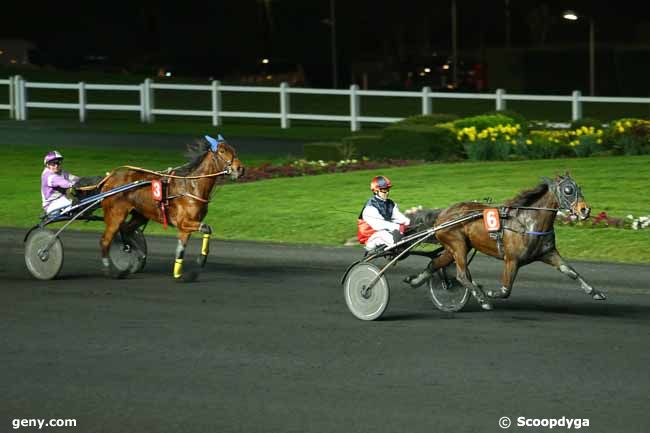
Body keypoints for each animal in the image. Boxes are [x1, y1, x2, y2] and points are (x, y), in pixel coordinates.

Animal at [98, 134, 243, 276]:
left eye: (233, 150)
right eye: (222, 151)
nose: (240, 169)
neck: (191, 187)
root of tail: (109, 179)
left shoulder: (186, 227)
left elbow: (181, 248)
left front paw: (178, 273)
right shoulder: (183, 222)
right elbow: (206, 228)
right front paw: (201, 260)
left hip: (140, 214)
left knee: (126, 230)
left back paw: (137, 254)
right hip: (115, 216)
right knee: (105, 240)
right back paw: (108, 269)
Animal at [404, 174, 608, 308]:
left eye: (579, 188)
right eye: (568, 190)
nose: (585, 210)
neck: (527, 221)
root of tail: (443, 214)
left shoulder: (548, 253)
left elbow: (571, 271)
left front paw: (596, 292)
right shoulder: (512, 259)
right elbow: (505, 289)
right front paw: (489, 293)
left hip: (455, 247)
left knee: (435, 263)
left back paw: (416, 281)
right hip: (458, 245)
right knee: (462, 275)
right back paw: (482, 298)